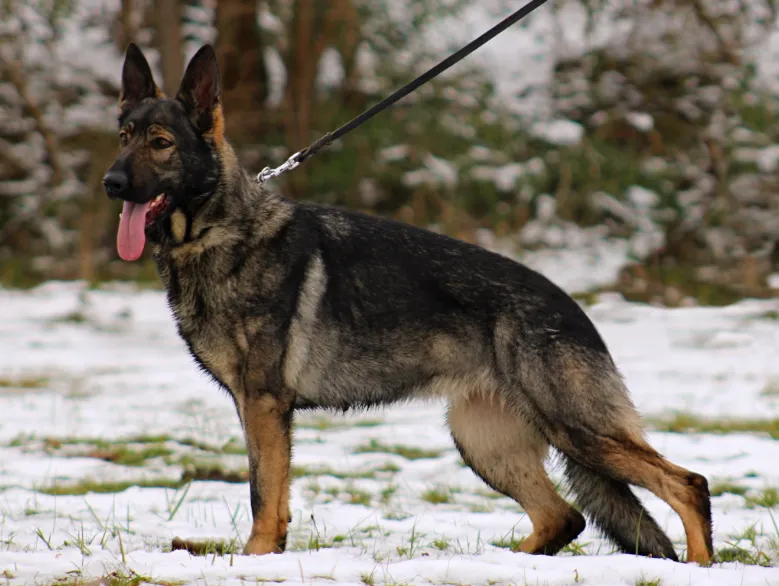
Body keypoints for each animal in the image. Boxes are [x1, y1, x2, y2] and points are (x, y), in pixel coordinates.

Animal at [103, 43, 712, 564]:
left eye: (161, 142)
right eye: (124, 134)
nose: (110, 182)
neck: (219, 230)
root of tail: (574, 309)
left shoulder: (264, 403)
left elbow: (262, 492)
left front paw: (254, 559)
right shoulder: (257, 408)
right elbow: (272, 493)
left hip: (574, 429)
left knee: (687, 483)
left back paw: (701, 563)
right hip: (484, 442)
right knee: (564, 517)